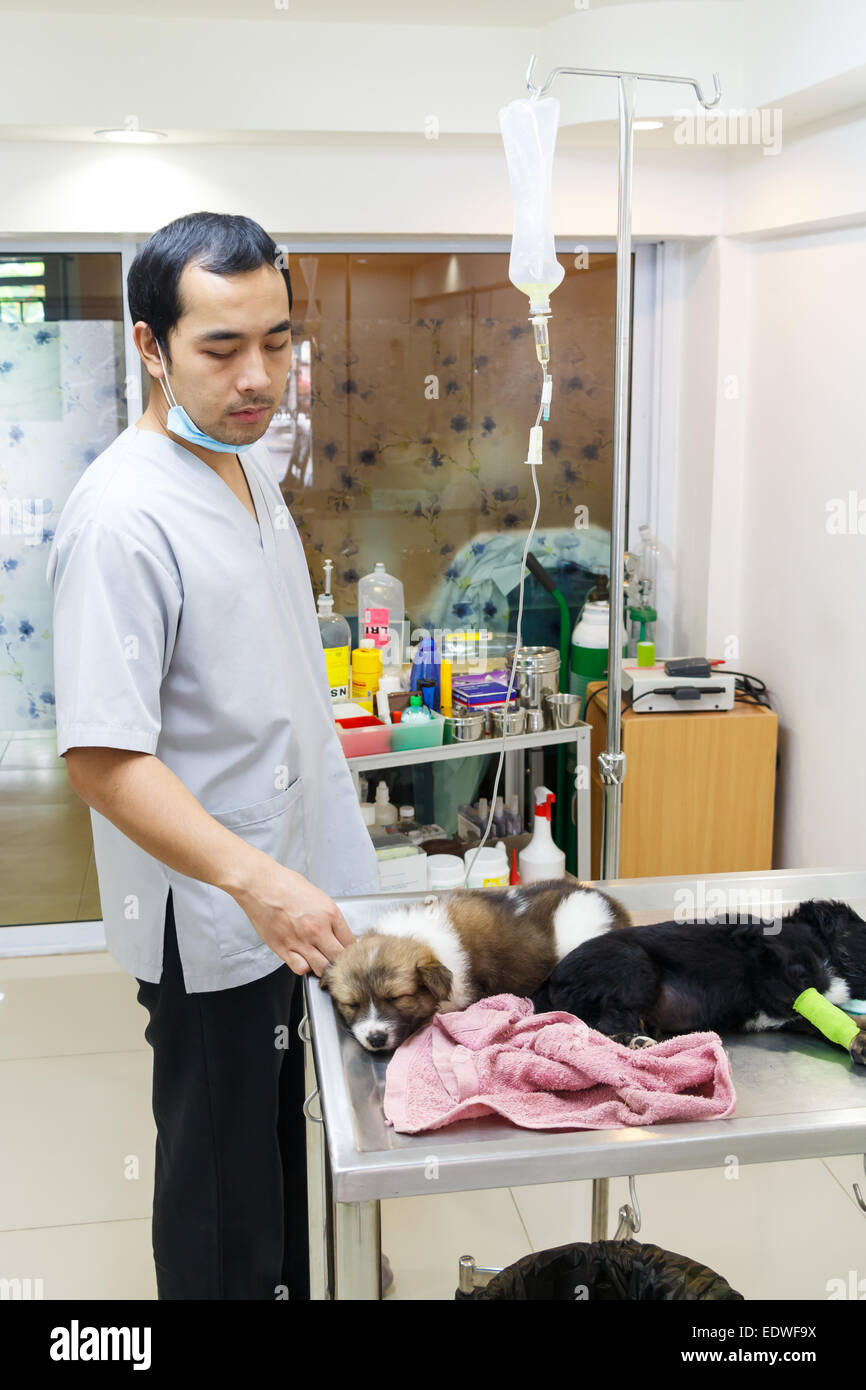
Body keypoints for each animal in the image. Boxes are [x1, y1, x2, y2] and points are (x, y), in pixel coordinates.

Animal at [528, 900, 866, 1061]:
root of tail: (550, 980)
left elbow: (834, 1019)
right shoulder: (768, 950)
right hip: (635, 967)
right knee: (605, 1026)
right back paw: (638, 1042)